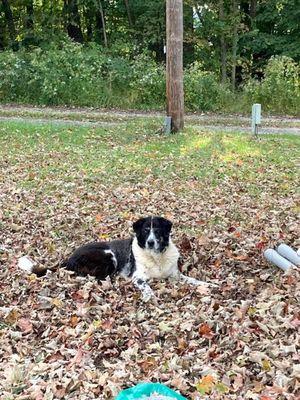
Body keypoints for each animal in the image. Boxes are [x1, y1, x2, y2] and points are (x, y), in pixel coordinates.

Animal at [28, 217, 211, 302]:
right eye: (146, 230)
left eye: (158, 230)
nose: (151, 242)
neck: (156, 257)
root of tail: (69, 257)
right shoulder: (138, 277)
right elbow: (147, 287)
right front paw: (150, 296)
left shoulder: (175, 276)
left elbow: (194, 280)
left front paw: (209, 285)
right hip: (109, 255)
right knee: (95, 277)